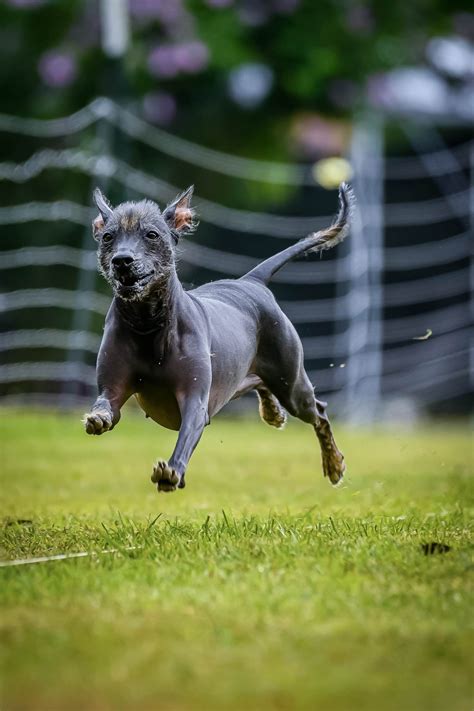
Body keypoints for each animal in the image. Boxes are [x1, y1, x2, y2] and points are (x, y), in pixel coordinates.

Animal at [83, 184, 354, 492]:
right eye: (108, 237)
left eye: (151, 234)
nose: (122, 260)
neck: (147, 324)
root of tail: (251, 282)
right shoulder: (113, 388)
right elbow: (108, 405)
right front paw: (98, 417)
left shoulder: (195, 401)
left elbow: (188, 431)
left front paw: (171, 471)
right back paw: (273, 412)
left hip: (292, 384)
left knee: (318, 412)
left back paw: (333, 464)